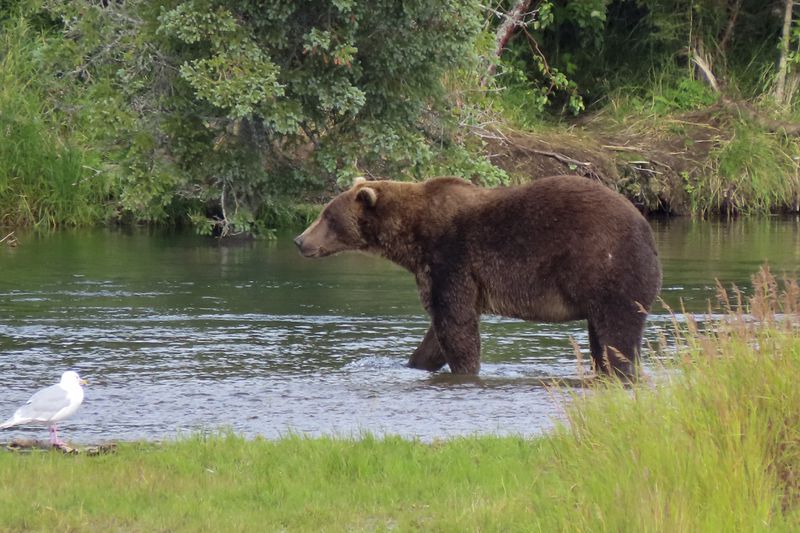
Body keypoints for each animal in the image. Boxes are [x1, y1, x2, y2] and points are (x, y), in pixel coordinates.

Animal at [294, 176, 664, 378]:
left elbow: (456, 325)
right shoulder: (437, 271)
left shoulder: (451, 259)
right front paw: (414, 362)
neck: (412, 237)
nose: (299, 240)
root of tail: (647, 228)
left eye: (327, 216)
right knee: (600, 337)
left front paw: (465, 369)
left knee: (617, 333)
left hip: (608, 267)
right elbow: (436, 333)